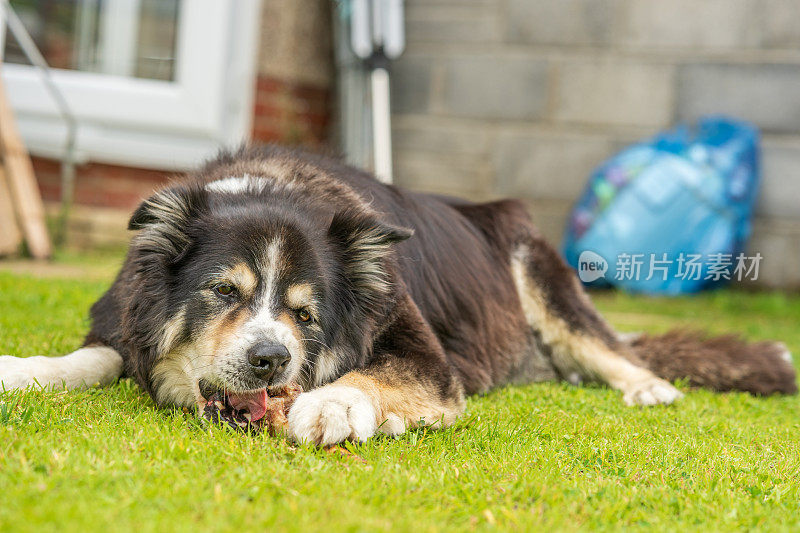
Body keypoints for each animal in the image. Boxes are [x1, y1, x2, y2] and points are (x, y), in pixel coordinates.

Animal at [0, 143, 796, 442]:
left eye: (305, 315)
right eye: (224, 292)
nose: (271, 360)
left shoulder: (427, 357)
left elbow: (376, 376)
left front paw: (332, 403)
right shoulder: (122, 320)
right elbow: (92, 356)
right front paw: (24, 371)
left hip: (536, 266)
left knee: (607, 344)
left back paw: (646, 385)